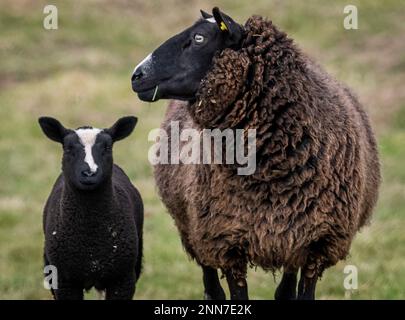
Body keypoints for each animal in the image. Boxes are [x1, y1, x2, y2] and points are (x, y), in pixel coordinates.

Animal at [130, 7, 378, 300]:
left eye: (199, 38)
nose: (137, 75)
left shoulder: (319, 244)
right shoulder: (226, 243)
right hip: (191, 227)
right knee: (210, 283)